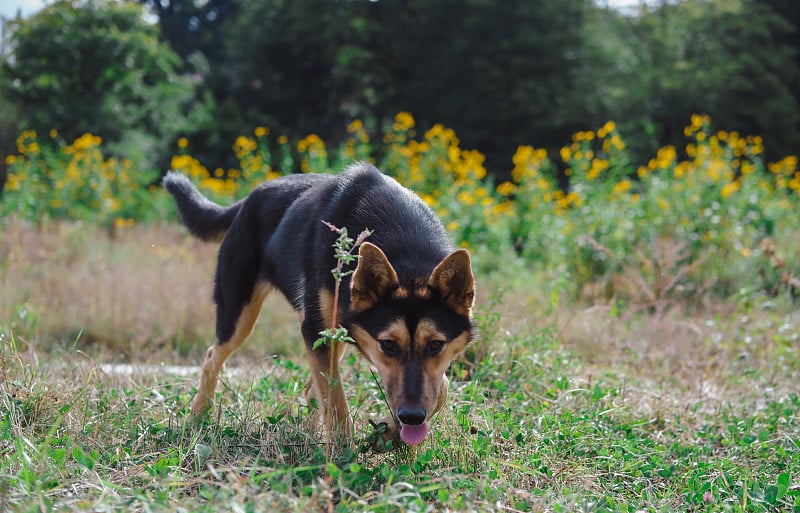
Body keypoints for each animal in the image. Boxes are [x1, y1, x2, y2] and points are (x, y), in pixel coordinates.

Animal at [162, 161, 476, 444]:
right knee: (212, 357)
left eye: (435, 345)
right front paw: (343, 452)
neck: (406, 251)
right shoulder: (315, 329)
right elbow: (336, 402)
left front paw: (386, 430)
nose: (411, 417)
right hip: (240, 315)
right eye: (387, 345)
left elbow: (442, 387)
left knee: (311, 388)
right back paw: (198, 416)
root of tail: (248, 199)